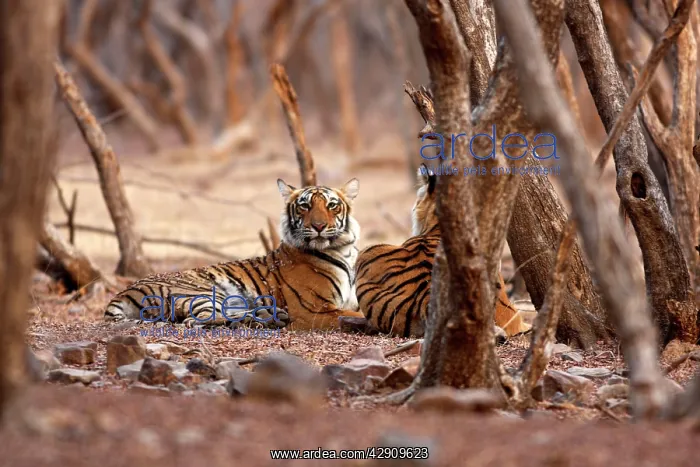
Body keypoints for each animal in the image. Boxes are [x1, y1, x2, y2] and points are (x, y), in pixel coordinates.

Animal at [104, 178, 366, 331]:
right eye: (305, 206)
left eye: (332, 205)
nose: (319, 226)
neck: (343, 251)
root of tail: (125, 291)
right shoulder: (312, 310)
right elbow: (354, 314)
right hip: (201, 293)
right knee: (195, 320)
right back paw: (271, 317)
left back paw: (269, 316)